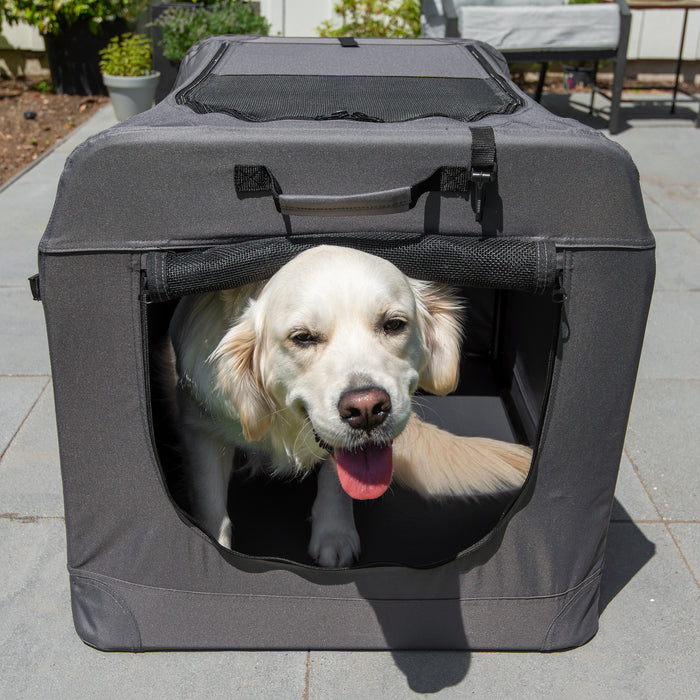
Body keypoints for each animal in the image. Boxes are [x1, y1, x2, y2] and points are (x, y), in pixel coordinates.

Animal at [170, 243, 532, 568]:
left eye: (393, 324)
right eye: (303, 337)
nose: (367, 409)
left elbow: (336, 476)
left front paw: (334, 534)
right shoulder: (199, 428)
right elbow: (212, 508)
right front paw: (215, 549)